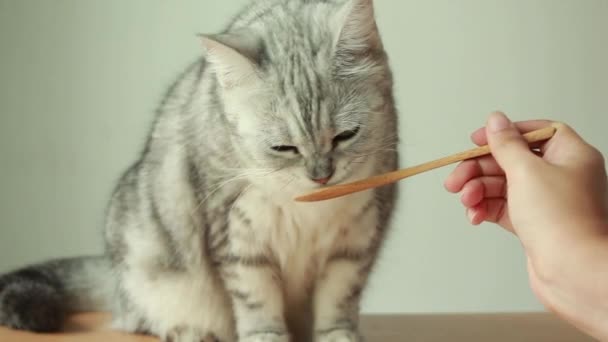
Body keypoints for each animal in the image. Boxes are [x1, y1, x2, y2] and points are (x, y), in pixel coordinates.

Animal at [0, 0, 400, 342]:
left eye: (346, 135)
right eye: (283, 147)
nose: (321, 175)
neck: (310, 206)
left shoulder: (355, 242)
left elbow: (338, 302)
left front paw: (339, 336)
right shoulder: (237, 236)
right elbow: (257, 303)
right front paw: (265, 336)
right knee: (140, 318)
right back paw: (189, 331)